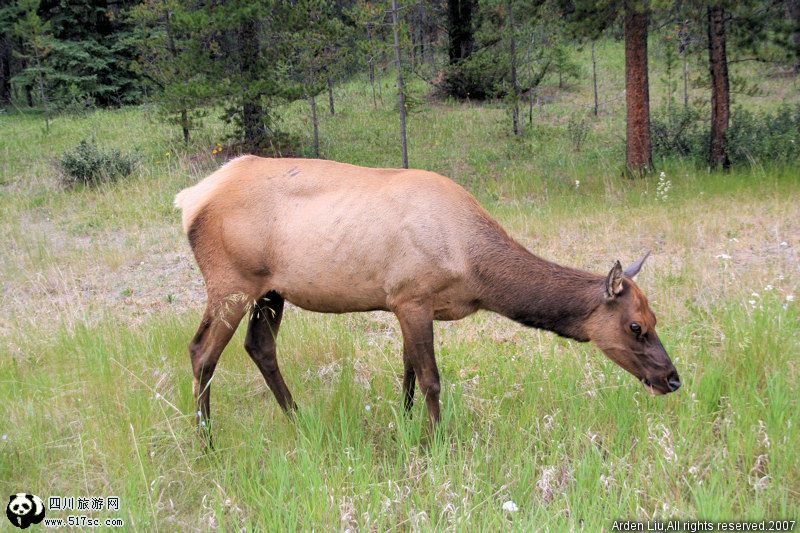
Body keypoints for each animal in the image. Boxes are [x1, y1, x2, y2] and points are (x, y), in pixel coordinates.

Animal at [175, 156, 680, 438]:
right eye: (637, 325)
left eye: (655, 319)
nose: (673, 379)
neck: (474, 268)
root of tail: (188, 199)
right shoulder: (411, 298)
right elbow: (432, 379)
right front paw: (436, 441)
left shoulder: (410, 305)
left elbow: (408, 375)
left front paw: (406, 426)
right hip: (231, 281)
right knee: (202, 351)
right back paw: (206, 441)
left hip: (271, 289)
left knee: (259, 346)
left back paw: (299, 421)